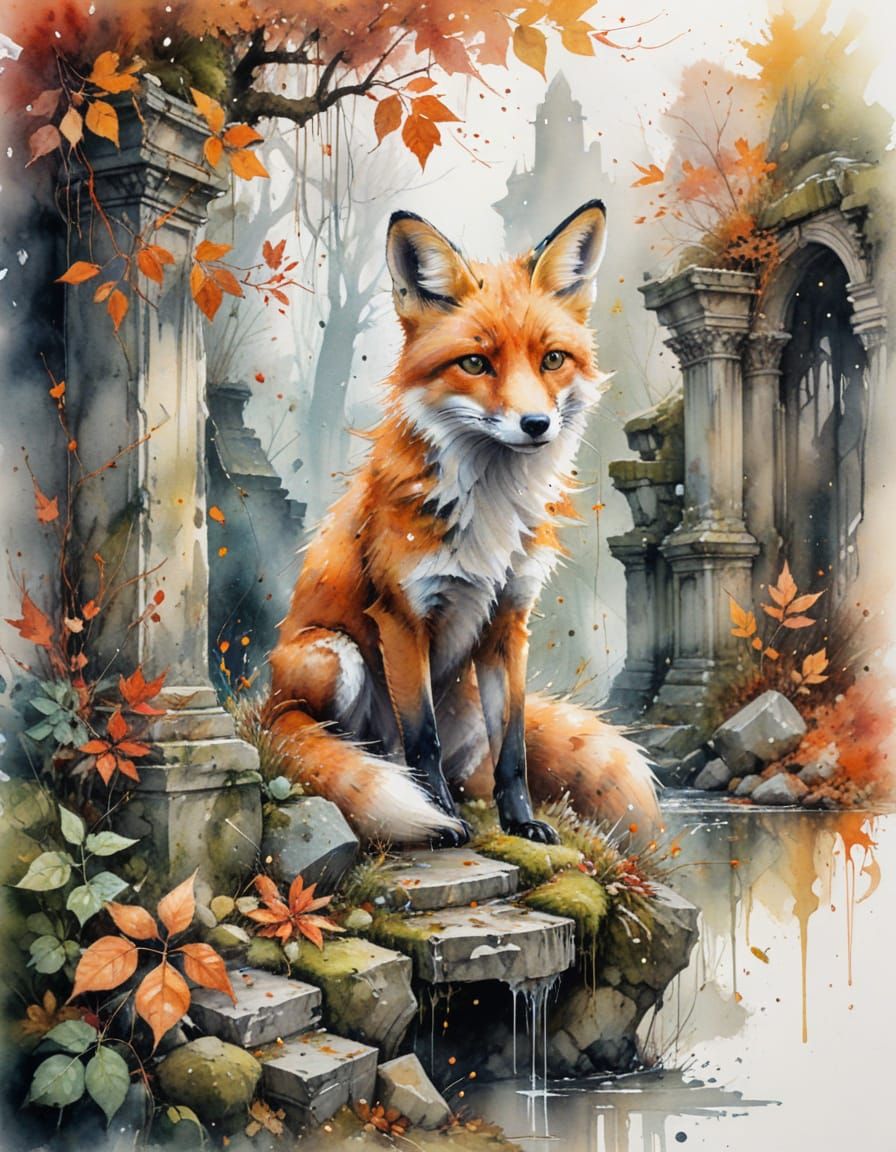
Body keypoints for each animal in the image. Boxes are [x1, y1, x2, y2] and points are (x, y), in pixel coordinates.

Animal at [265, 200, 660, 848]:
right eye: (475, 363)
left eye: (552, 359)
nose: (536, 424)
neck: (490, 513)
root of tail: (268, 707)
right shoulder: (402, 617)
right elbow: (420, 739)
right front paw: (440, 818)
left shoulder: (509, 620)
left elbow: (514, 748)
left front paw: (521, 823)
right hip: (331, 656)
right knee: (349, 747)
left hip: (466, 703)